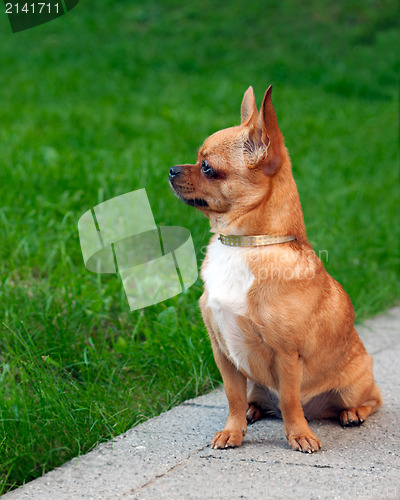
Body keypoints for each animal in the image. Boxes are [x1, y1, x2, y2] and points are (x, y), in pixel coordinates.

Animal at [168, 86, 382, 454]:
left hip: (356, 383)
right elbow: (233, 397)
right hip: (256, 383)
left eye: (207, 167)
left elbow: (291, 401)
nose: (171, 169)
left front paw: (299, 435)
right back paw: (253, 411)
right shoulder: (223, 353)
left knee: (370, 400)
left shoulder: (286, 356)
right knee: (255, 398)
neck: (244, 244)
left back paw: (352, 413)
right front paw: (233, 430)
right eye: (197, 160)